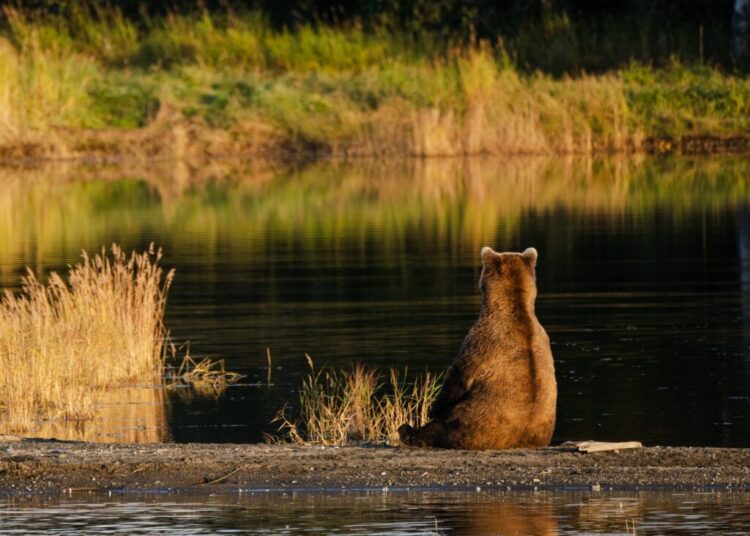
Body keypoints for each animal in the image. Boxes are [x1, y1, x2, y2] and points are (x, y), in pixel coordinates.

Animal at [398, 246, 556, 450]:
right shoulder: (543, 339)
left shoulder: (482, 342)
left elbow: (457, 378)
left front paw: (433, 409)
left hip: (464, 424)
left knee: (436, 429)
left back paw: (406, 430)